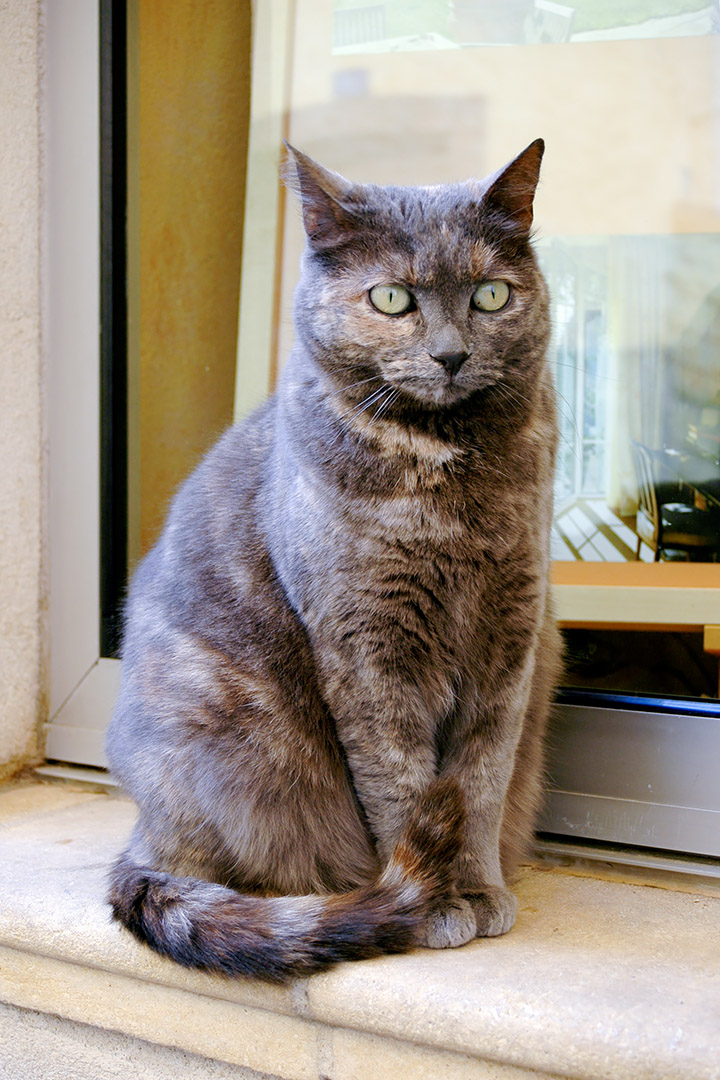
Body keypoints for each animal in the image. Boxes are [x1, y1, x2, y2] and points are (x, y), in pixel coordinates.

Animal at [105, 135, 561, 980]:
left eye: (489, 295)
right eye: (391, 299)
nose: (451, 355)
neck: (447, 479)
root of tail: (145, 830)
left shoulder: (511, 640)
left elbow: (480, 780)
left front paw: (479, 888)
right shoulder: (368, 651)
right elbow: (403, 787)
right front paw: (435, 903)